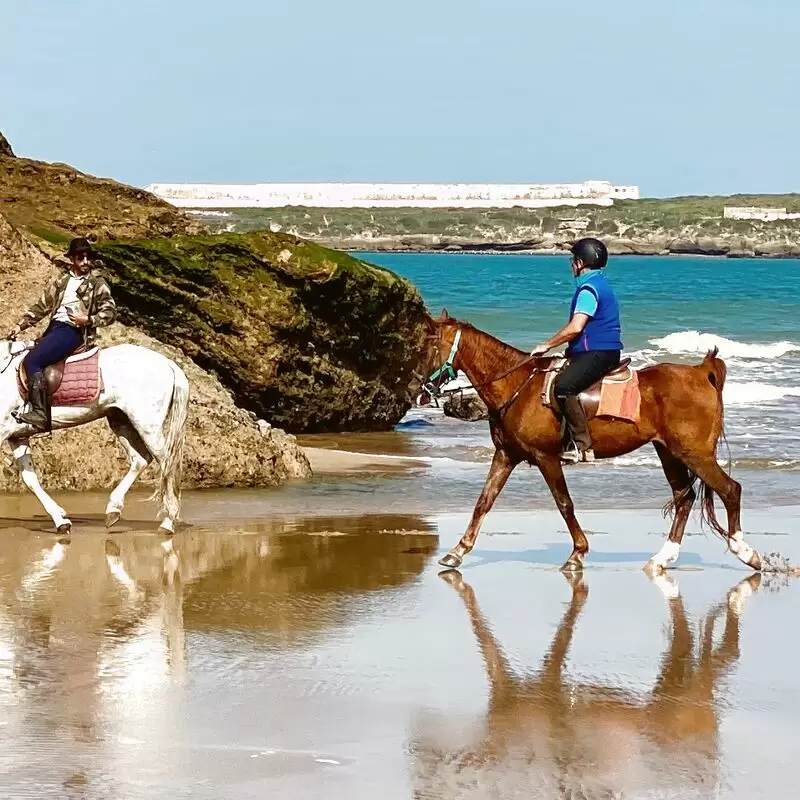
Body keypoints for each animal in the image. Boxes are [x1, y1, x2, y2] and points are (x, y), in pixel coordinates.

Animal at [0, 340, 189, 536]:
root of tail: (168, 363)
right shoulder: (17, 437)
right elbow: (31, 480)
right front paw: (61, 521)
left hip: (147, 425)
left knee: (167, 464)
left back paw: (168, 522)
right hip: (121, 421)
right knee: (141, 459)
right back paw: (113, 510)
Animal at [418, 310, 764, 572]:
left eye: (428, 348)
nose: (420, 390)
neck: (518, 387)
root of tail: (700, 372)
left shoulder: (546, 457)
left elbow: (564, 504)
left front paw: (577, 553)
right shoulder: (506, 455)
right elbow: (483, 502)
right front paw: (458, 551)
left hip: (694, 453)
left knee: (730, 490)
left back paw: (746, 552)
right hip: (668, 451)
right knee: (685, 498)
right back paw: (663, 558)